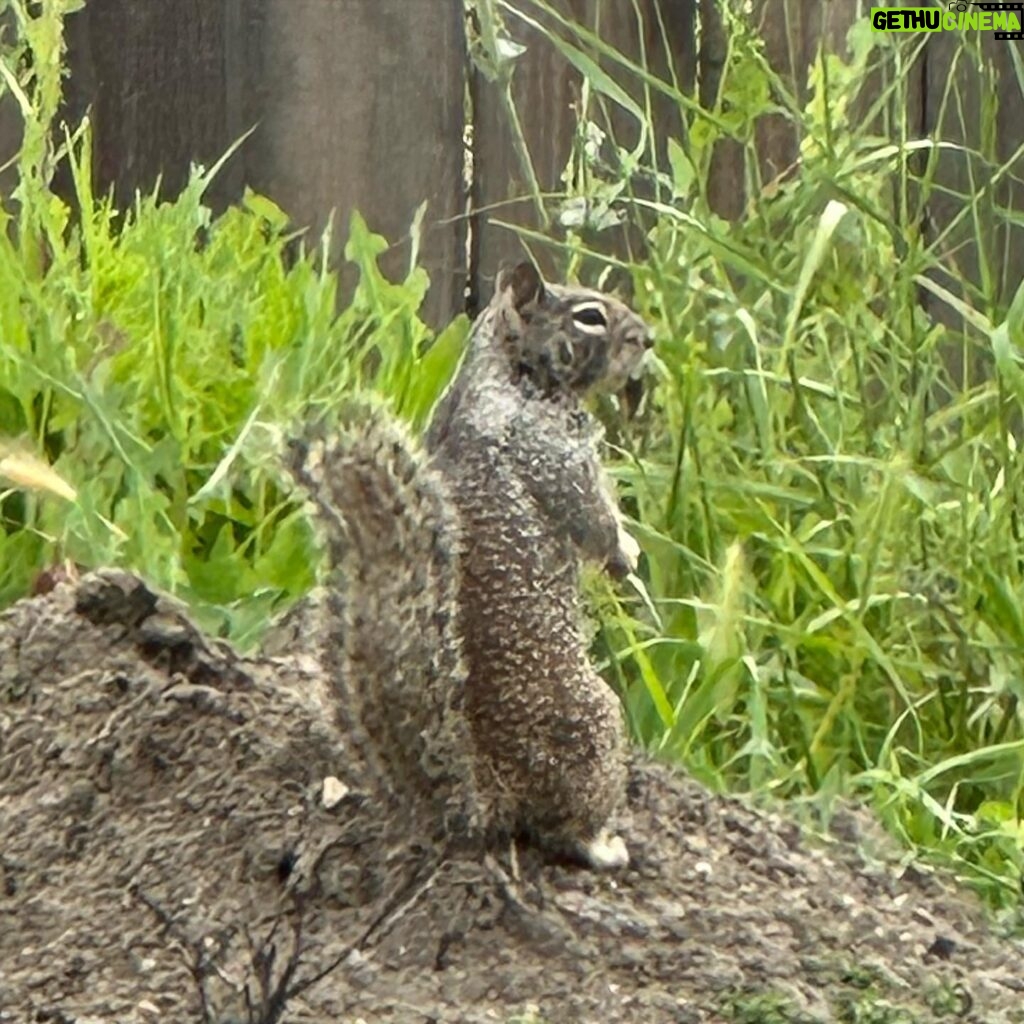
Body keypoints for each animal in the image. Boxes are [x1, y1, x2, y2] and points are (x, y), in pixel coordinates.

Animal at [292, 260, 651, 868]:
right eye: (589, 316)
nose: (647, 340)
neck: (509, 373)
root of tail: (490, 798)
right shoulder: (551, 453)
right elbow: (591, 515)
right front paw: (624, 552)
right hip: (596, 726)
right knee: (562, 829)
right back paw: (603, 846)